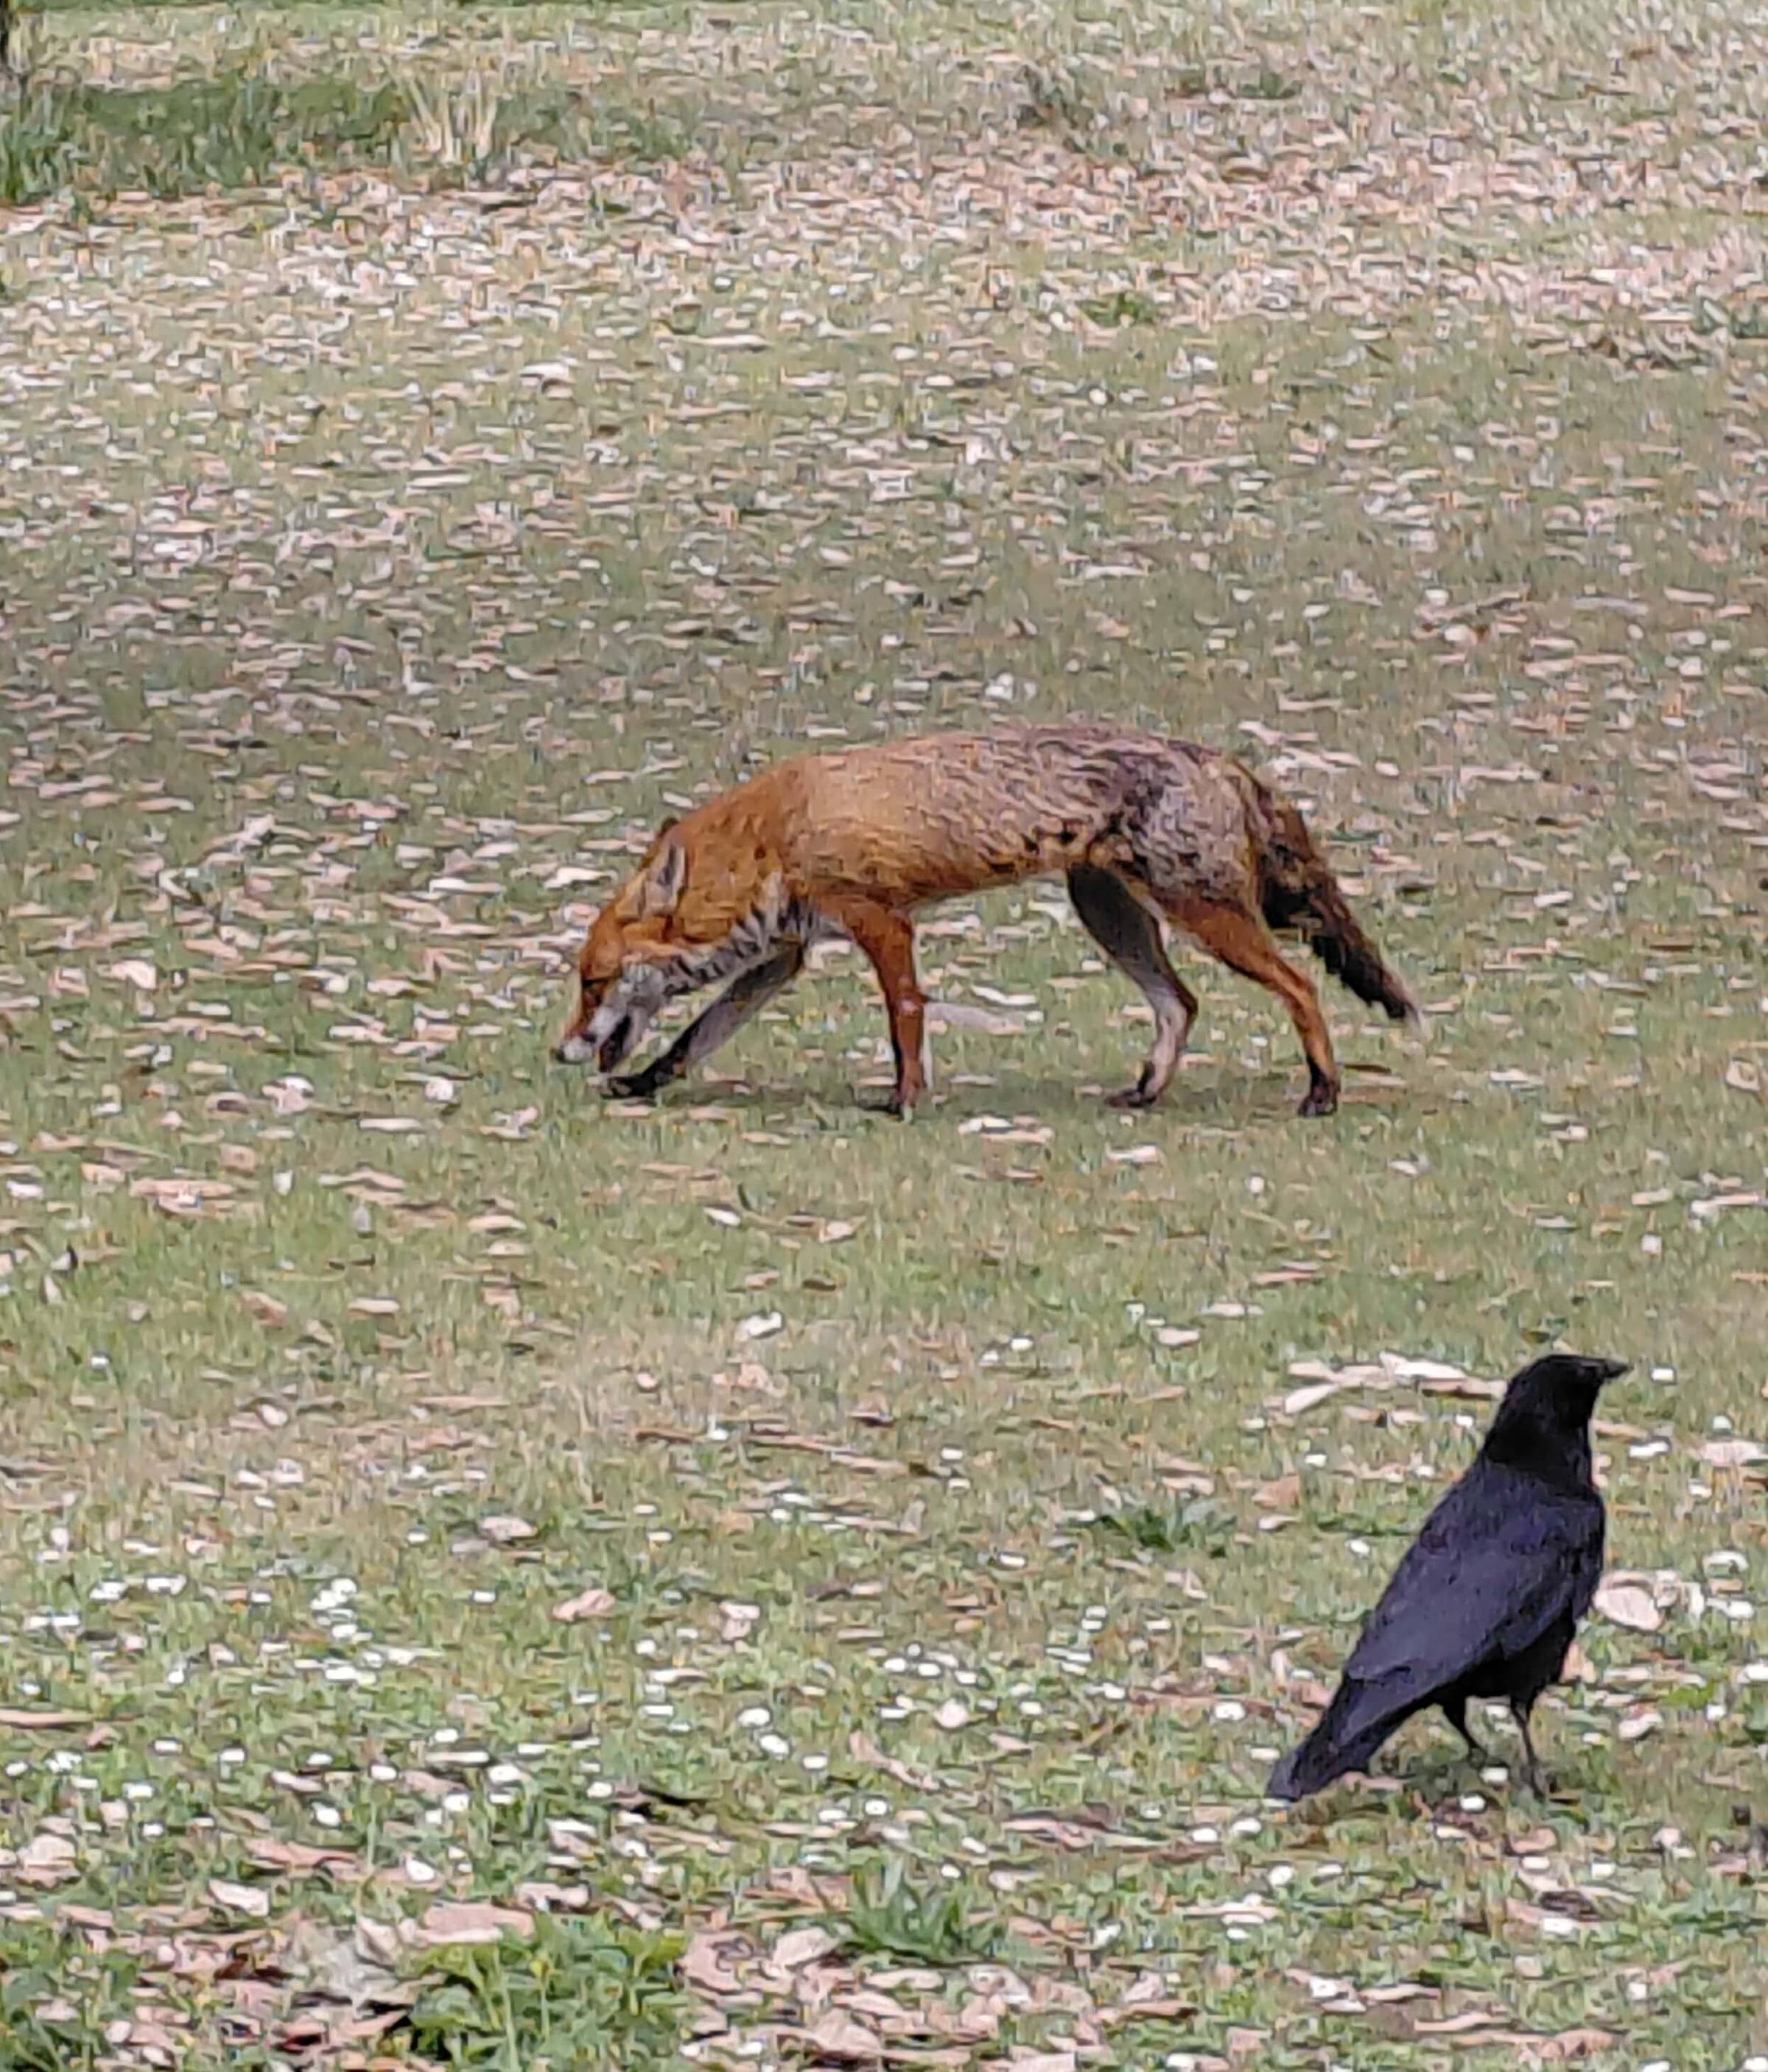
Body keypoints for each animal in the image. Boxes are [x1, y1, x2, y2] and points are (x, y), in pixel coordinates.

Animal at [553, 723, 1421, 1119]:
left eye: (594, 983)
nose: (560, 1052)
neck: (777, 834)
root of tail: (1216, 756)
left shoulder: (879, 921)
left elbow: (905, 1018)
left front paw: (904, 1100)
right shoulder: (783, 955)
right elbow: (696, 1037)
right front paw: (644, 1081)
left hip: (1202, 915)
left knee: (1301, 985)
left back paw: (1324, 1090)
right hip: (1108, 913)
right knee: (1182, 1004)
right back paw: (1146, 1091)